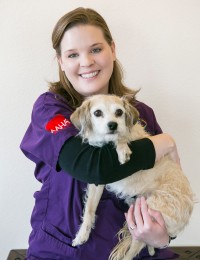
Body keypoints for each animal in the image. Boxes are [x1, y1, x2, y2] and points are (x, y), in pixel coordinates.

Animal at [70, 94, 194, 260]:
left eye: (119, 112)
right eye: (97, 113)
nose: (113, 125)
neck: (105, 142)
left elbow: (122, 136)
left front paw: (122, 147)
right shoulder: (98, 181)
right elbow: (90, 210)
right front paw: (82, 235)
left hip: (147, 223)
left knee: (132, 251)